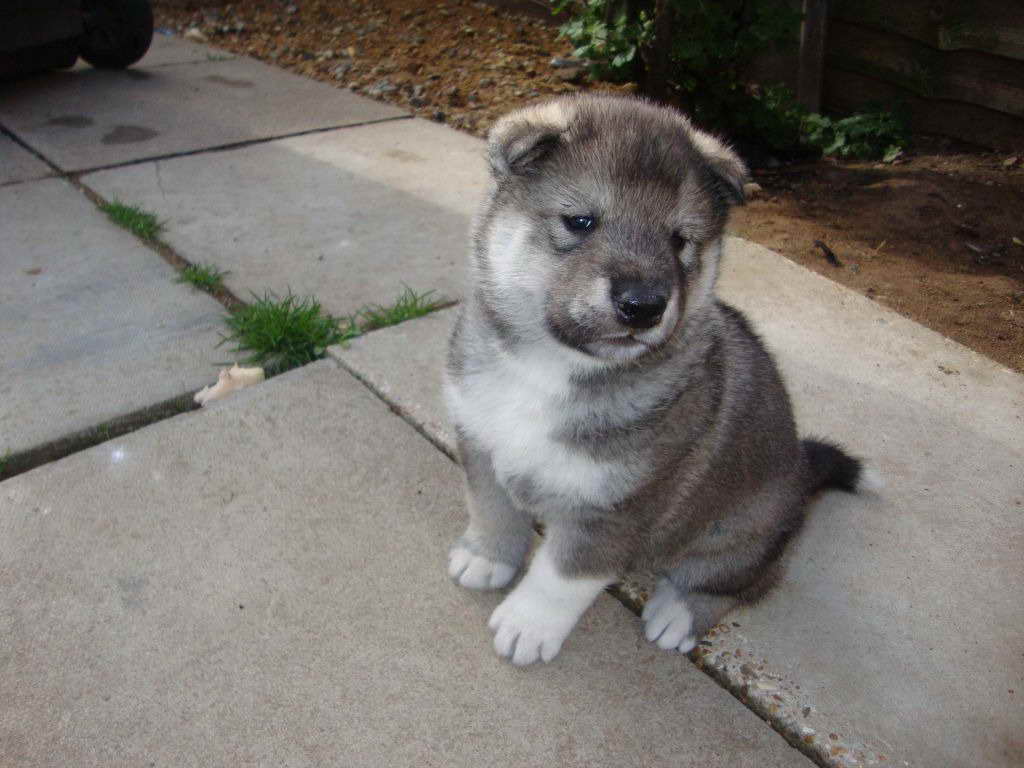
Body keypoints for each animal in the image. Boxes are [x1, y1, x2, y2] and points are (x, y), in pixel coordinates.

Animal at [442, 94, 872, 667]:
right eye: (581, 221)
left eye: (679, 240)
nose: (645, 306)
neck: (550, 368)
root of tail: (801, 471)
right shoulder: (480, 442)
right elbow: (490, 508)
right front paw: (488, 557)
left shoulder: (619, 507)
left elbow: (560, 577)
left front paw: (527, 625)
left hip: (736, 537)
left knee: (740, 584)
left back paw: (679, 613)